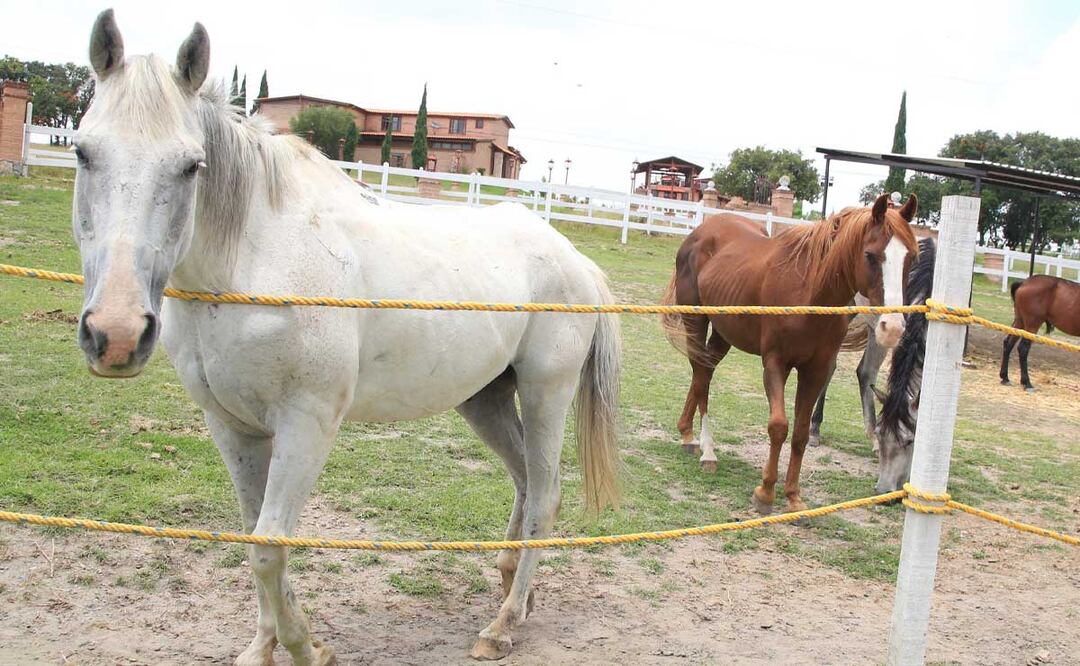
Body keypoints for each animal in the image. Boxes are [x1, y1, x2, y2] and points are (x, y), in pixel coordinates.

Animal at [71, 11, 620, 664]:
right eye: (82, 152)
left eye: (190, 165)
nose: (117, 333)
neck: (254, 265)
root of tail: (573, 258)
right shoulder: (232, 427)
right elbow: (251, 535)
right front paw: (262, 647)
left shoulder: (307, 424)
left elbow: (269, 546)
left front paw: (308, 648)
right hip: (484, 400)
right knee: (524, 481)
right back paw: (515, 589)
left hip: (545, 395)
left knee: (546, 494)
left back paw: (504, 624)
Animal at [661, 194, 919, 514]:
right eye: (871, 255)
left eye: (911, 257)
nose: (892, 327)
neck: (809, 294)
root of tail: (699, 232)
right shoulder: (775, 363)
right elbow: (779, 427)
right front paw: (765, 493)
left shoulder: (816, 370)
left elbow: (800, 434)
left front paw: (794, 497)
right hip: (695, 321)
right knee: (700, 375)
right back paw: (707, 450)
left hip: (723, 333)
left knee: (704, 372)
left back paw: (687, 432)